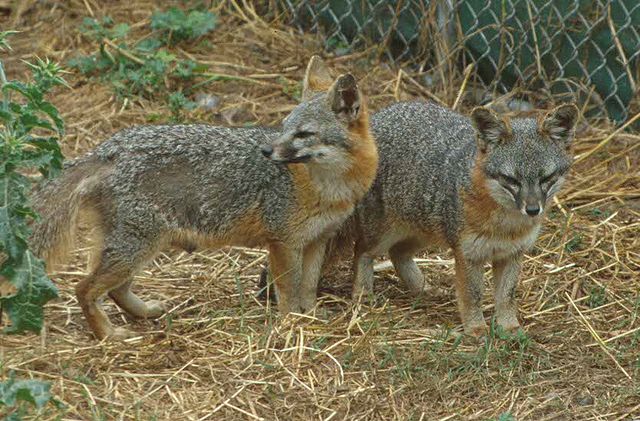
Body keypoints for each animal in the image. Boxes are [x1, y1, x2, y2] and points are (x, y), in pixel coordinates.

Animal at [30, 56, 378, 338]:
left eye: (304, 134)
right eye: (283, 128)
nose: (266, 151)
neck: (329, 188)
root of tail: (107, 149)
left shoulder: (318, 240)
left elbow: (308, 286)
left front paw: (312, 316)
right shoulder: (283, 242)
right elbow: (289, 291)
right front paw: (292, 324)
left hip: (145, 247)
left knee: (115, 289)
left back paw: (144, 313)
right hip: (137, 247)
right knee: (84, 288)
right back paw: (109, 335)